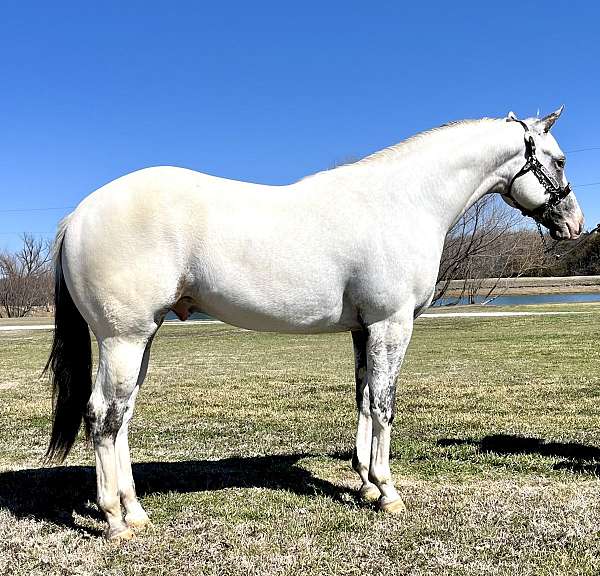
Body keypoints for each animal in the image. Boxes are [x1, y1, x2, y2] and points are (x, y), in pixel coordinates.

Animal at [45, 108, 580, 540]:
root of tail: (78, 215)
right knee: (102, 417)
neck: (405, 201)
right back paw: (115, 520)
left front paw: (366, 484)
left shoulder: (364, 329)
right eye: (559, 160)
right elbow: (384, 406)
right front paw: (388, 492)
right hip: (123, 339)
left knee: (122, 419)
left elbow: (363, 399)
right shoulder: (391, 324)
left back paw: (135, 512)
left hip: (142, 338)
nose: (575, 225)